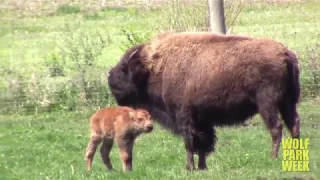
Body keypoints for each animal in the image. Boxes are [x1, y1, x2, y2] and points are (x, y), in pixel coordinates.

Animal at [107, 31, 300, 171]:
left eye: (124, 69)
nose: (110, 78)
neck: (154, 66)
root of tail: (285, 54)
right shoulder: (202, 120)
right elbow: (203, 143)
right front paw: (202, 167)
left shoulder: (184, 116)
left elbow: (190, 142)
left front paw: (189, 168)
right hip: (288, 102)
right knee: (294, 125)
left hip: (268, 104)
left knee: (276, 128)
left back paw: (272, 158)